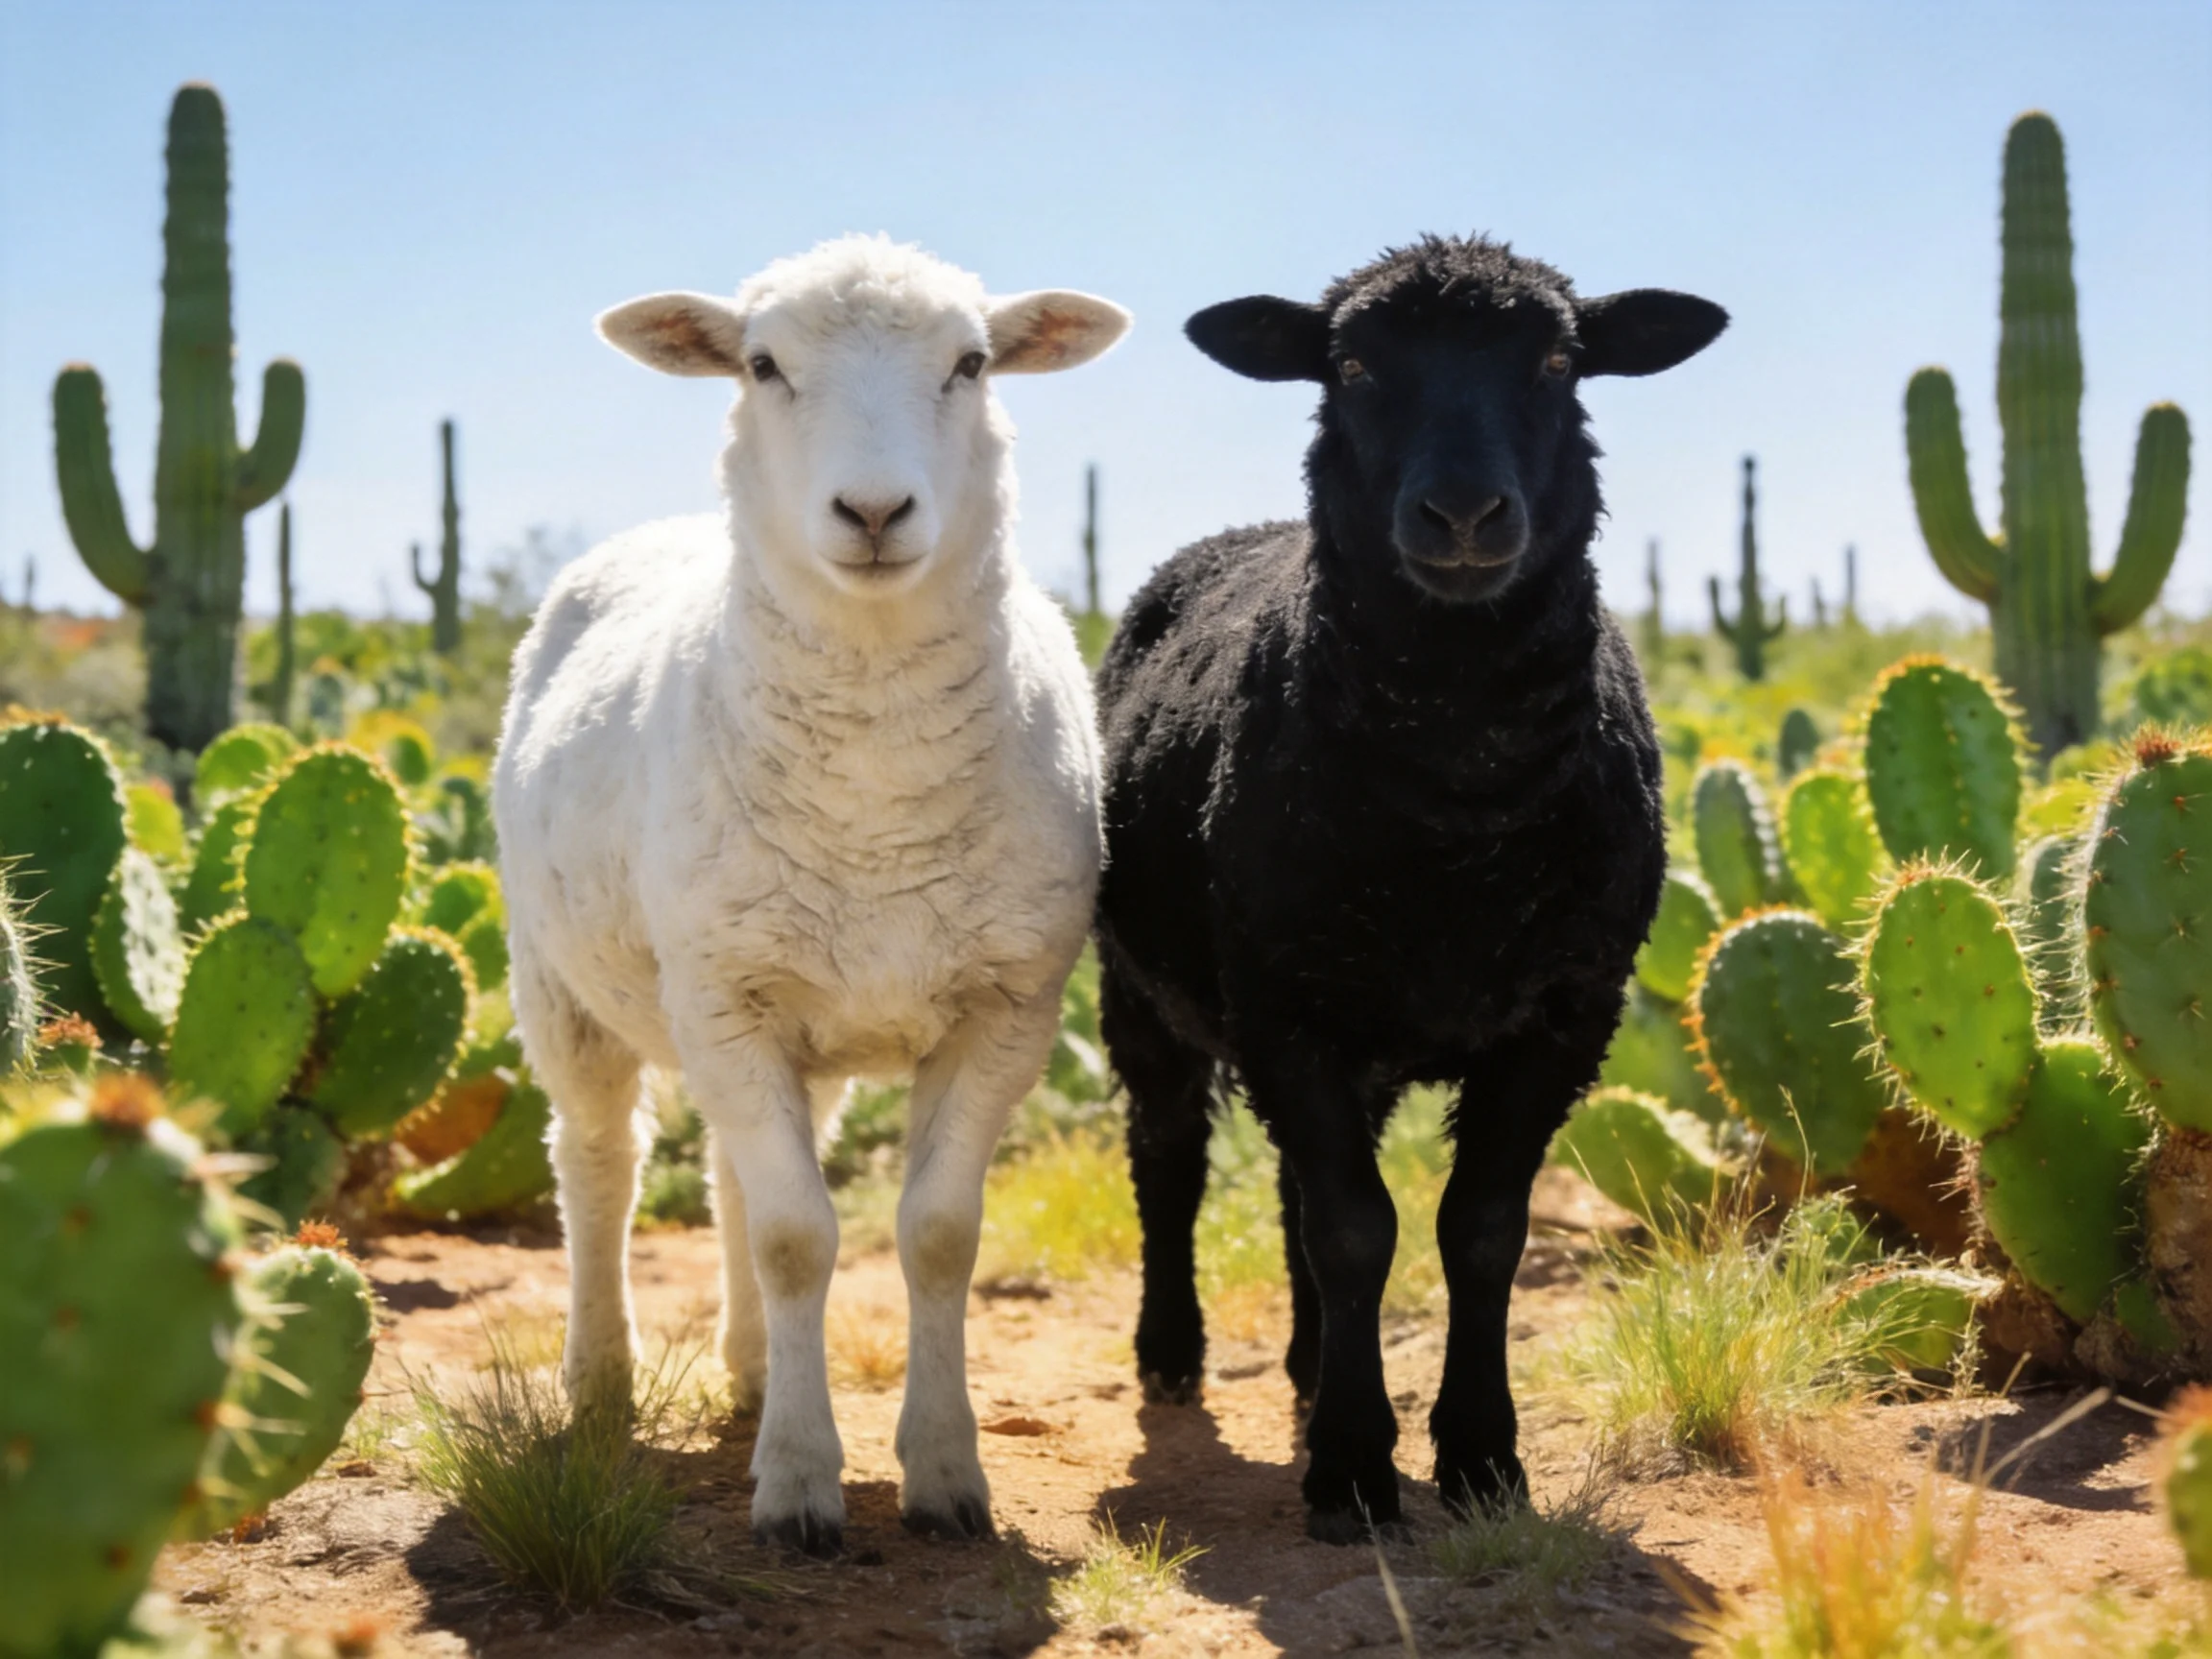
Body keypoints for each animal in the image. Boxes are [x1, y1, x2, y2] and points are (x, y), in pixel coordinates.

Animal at [492, 235, 1128, 1555]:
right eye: (764, 365)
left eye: (972, 363)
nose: (875, 513)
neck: (876, 798)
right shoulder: (725, 995)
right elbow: (798, 1241)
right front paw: (796, 1483)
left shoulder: (1007, 1008)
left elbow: (933, 1238)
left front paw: (943, 1473)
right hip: (563, 983)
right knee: (599, 1162)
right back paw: (602, 1380)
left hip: (792, 1012)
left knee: (734, 1176)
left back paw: (746, 1371)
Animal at [1093, 235, 1725, 1541]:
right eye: (1351, 367)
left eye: (1557, 362)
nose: (1464, 514)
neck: (1458, 807)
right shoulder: (1288, 1004)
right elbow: (1353, 1230)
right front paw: (1351, 1469)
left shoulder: (1563, 1012)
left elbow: (1475, 1232)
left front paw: (1482, 1457)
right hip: (1145, 991)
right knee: (1169, 1158)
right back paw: (1173, 1353)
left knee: (1290, 1188)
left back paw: (1303, 1359)